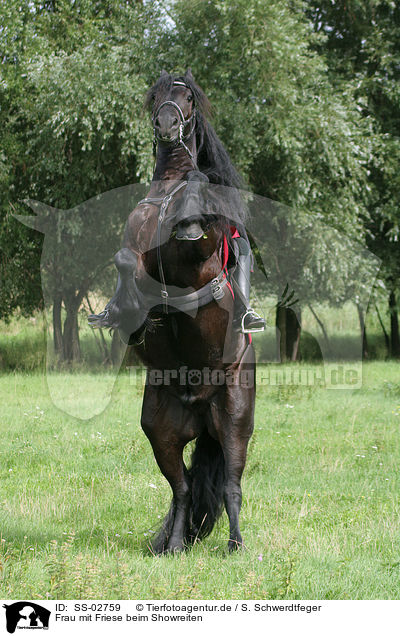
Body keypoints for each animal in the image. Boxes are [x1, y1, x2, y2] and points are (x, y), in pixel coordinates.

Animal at [89, 69, 258, 552]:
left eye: (187, 98)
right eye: (157, 97)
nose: (166, 124)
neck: (169, 191)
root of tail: (198, 404)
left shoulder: (200, 258)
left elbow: (195, 224)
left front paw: (190, 213)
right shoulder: (133, 248)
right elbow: (126, 261)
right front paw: (127, 314)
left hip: (234, 420)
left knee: (231, 485)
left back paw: (237, 547)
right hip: (160, 431)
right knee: (182, 488)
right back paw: (175, 546)